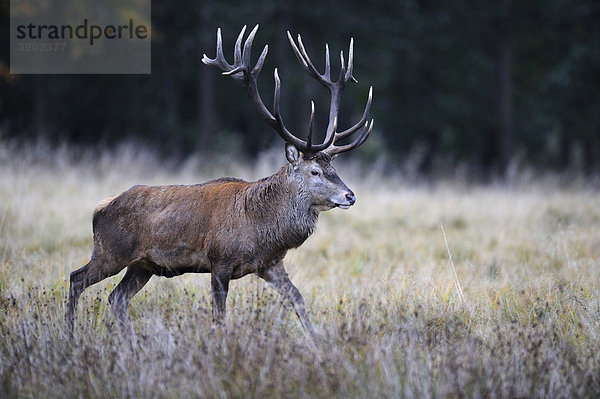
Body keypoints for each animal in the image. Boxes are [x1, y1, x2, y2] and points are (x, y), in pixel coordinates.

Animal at [67, 25, 376, 344]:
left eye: (333, 169)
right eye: (315, 171)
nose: (350, 195)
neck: (261, 227)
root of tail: (100, 207)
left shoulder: (270, 264)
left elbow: (297, 298)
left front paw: (318, 344)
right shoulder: (219, 261)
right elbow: (219, 316)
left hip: (142, 265)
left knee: (117, 298)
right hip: (111, 251)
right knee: (77, 278)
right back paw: (70, 336)